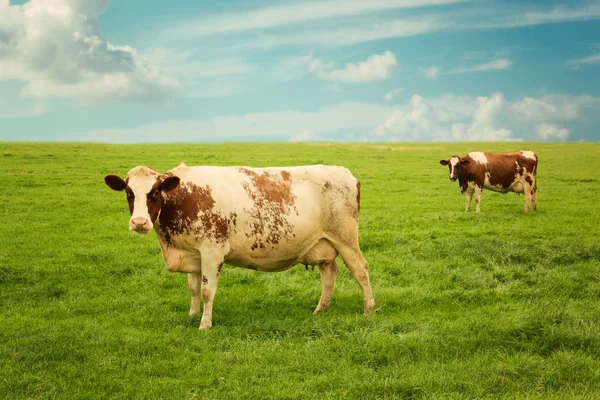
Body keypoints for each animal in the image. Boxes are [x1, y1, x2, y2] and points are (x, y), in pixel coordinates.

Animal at [103, 162, 376, 328]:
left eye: (154, 192)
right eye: (129, 193)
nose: (139, 222)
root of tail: (344, 172)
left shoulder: (212, 251)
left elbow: (206, 290)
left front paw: (205, 324)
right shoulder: (193, 253)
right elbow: (193, 289)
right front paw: (192, 315)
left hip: (345, 237)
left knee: (360, 270)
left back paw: (369, 309)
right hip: (323, 244)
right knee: (330, 273)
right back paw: (320, 310)